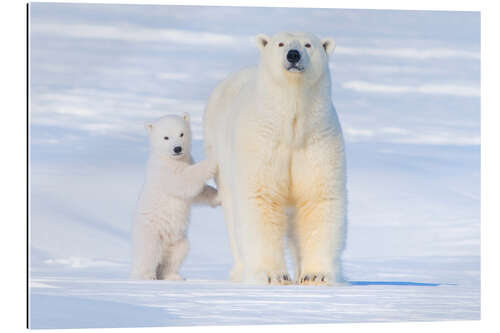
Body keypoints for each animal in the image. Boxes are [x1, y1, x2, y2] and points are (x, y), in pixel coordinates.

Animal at [201, 31, 346, 286]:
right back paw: (240, 271)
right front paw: (272, 275)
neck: (290, 127)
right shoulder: (261, 142)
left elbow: (318, 198)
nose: (293, 55)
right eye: (281, 43)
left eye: (308, 44)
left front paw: (315, 275)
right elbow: (261, 198)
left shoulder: (318, 141)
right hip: (220, 154)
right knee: (232, 214)